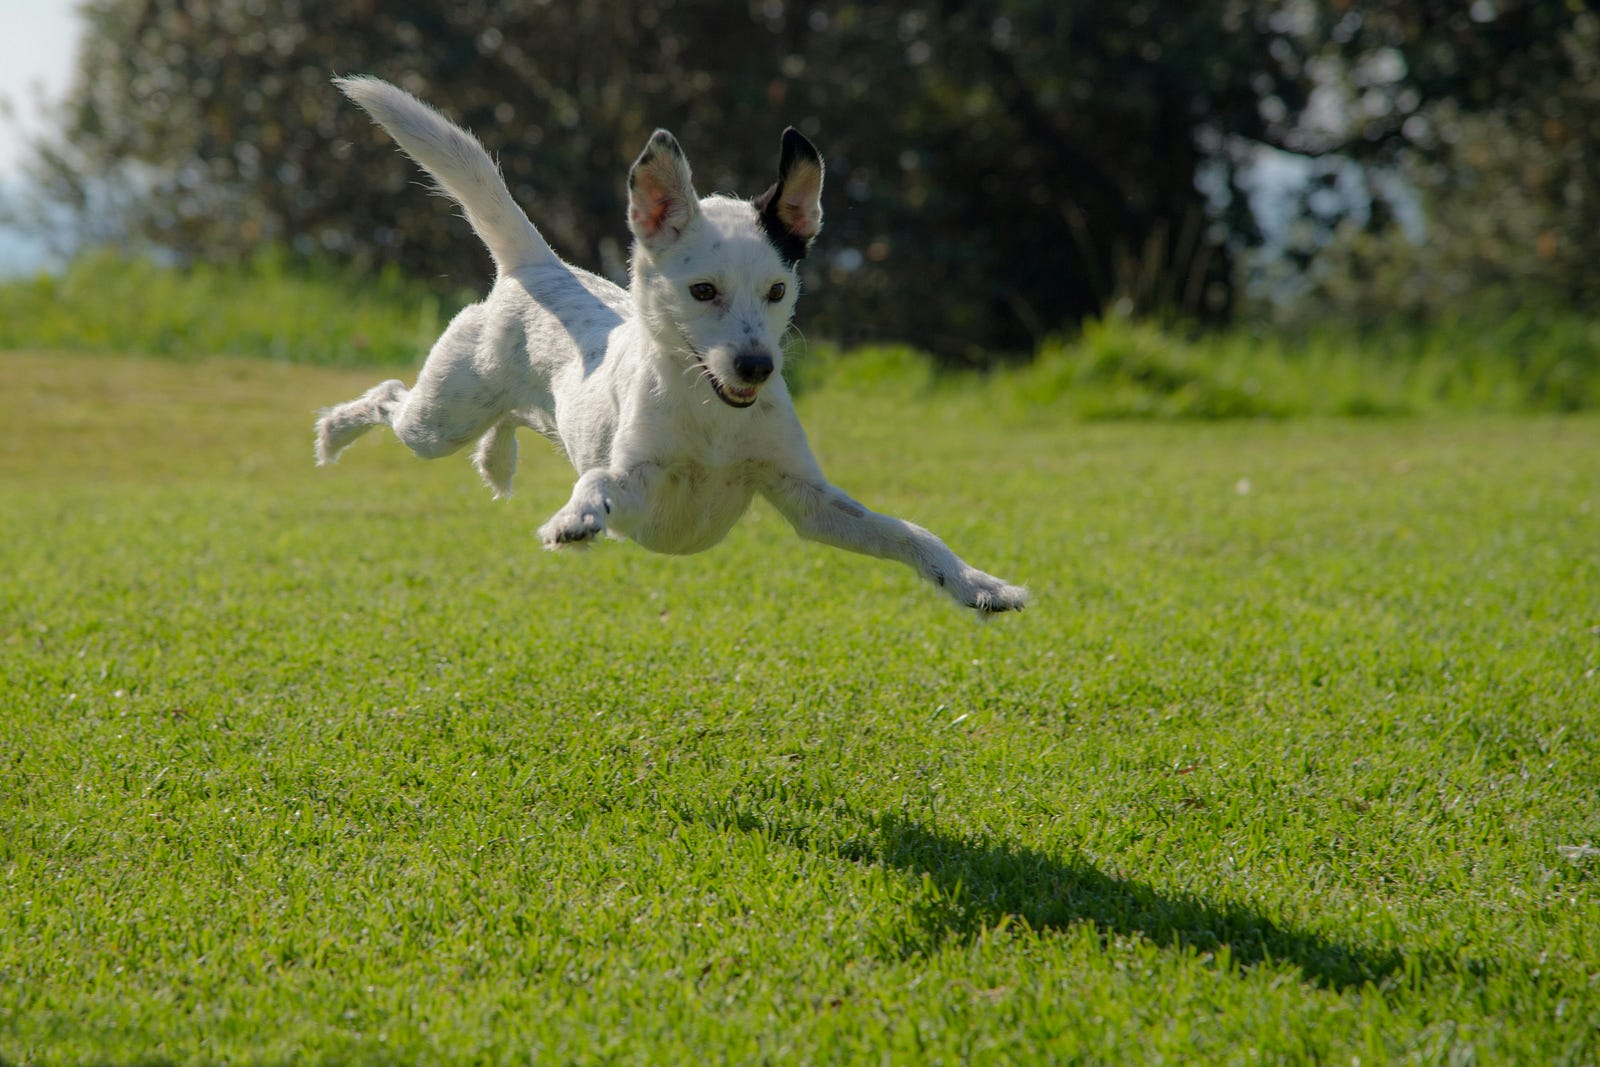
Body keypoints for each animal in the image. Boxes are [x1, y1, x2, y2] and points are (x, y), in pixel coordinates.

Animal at [318, 77, 1030, 617]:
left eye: (777, 290)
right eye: (703, 290)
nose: (756, 366)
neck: (712, 417)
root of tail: (538, 266)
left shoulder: (809, 501)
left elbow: (910, 533)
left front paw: (978, 585)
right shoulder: (640, 486)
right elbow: (599, 481)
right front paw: (575, 518)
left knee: (503, 422)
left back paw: (496, 458)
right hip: (439, 419)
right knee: (389, 397)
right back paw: (334, 433)